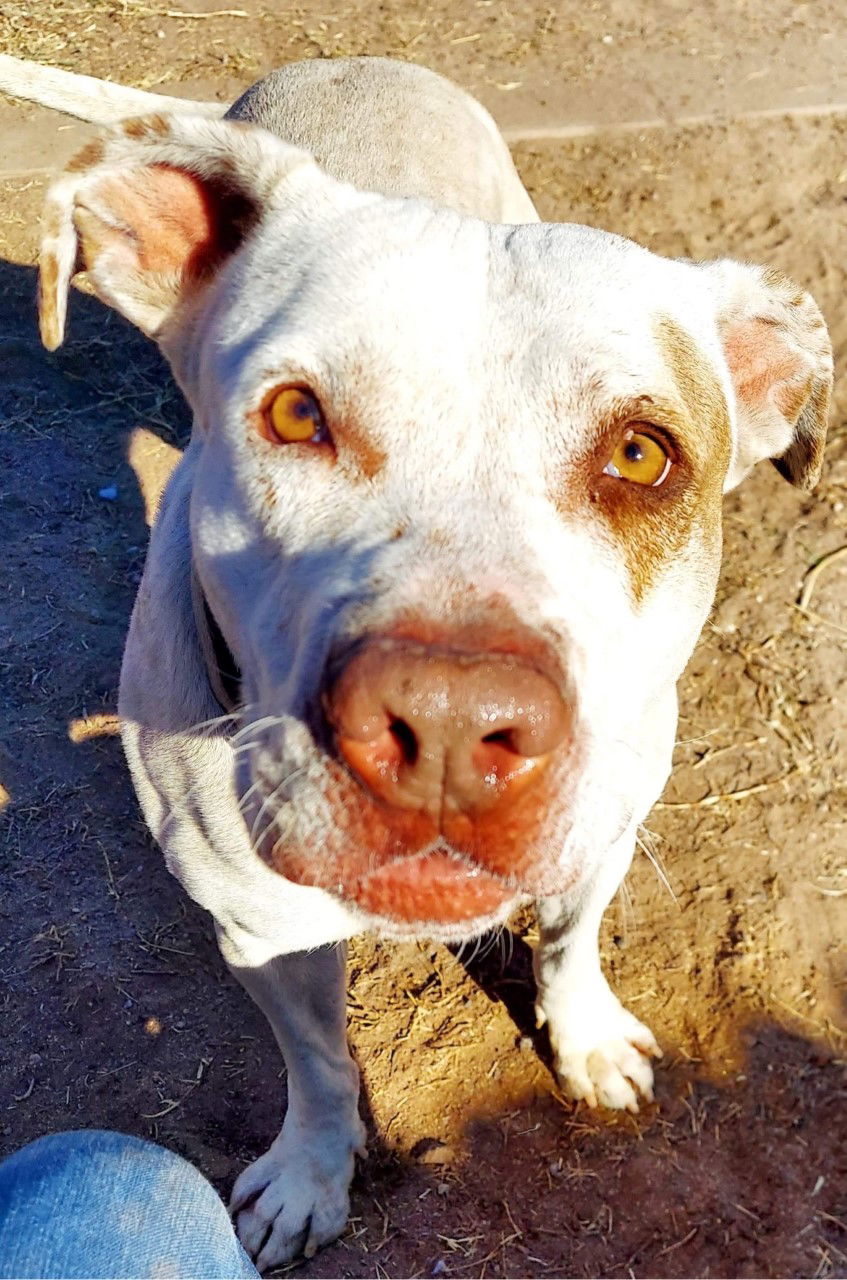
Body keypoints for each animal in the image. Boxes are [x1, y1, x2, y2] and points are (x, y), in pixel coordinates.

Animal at [0, 52, 834, 1269]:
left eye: (642, 454)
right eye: (295, 414)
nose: (447, 722)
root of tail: (345, 59)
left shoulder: (603, 832)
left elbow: (567, 944)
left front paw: (585, 1039)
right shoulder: (261, 931)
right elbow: (316, 1063)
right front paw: (311, 1173)